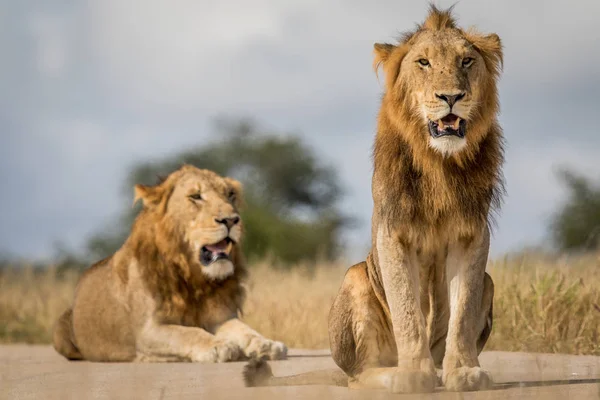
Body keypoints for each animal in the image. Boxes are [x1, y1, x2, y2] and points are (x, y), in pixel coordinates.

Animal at [52, 164, 288, 364]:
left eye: (230, 195)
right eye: (196, 196)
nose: (231, 220)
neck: (194, 277)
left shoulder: (220, 316)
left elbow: (245, 330)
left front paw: (266, 344)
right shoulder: (147, 331)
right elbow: (187, 333)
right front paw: (218, 345)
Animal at [243, 5, 502, 394]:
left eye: (467, 61)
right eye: (424, 62)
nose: (451, 97)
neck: (439, 163)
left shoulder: (471, 234)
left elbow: (463, 311)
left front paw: (465, 372)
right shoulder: (393, 233)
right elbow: (408, 310)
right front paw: (413, 375)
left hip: (490, 282)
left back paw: (440, 372)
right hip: (355, 277)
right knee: (357, 375)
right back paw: (395, 375)